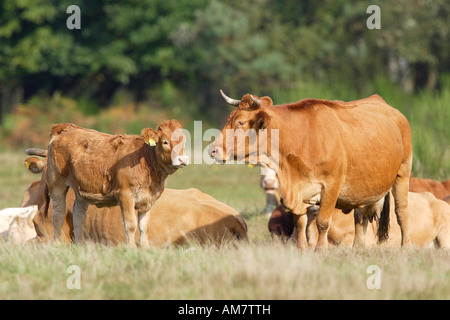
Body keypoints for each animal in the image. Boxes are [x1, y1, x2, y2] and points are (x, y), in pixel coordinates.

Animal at [44, 120, 188, 248]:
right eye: (165, 141)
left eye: (184, 141)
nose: (182, 160)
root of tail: (69, 129)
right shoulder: (125, 195)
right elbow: (131, 225)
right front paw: (132, 248)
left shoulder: (148, 199)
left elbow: (144, 226)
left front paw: (145, 248)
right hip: (57, 182)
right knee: (59, 213)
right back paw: (57, 244)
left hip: (81, 189)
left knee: (79, 215)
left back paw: (79, 246)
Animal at [211, 90, 412, 250]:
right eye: (229, 119)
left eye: (240, 122)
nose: (213, 150)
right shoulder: (299, 191)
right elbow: (300, 222)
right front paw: (302, 248)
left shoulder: (331, 186)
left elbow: (322, 222)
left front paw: (320, 249)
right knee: (360, 218)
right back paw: (358, 248)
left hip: (402, 173)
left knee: (401, 212)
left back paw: (405, 247)